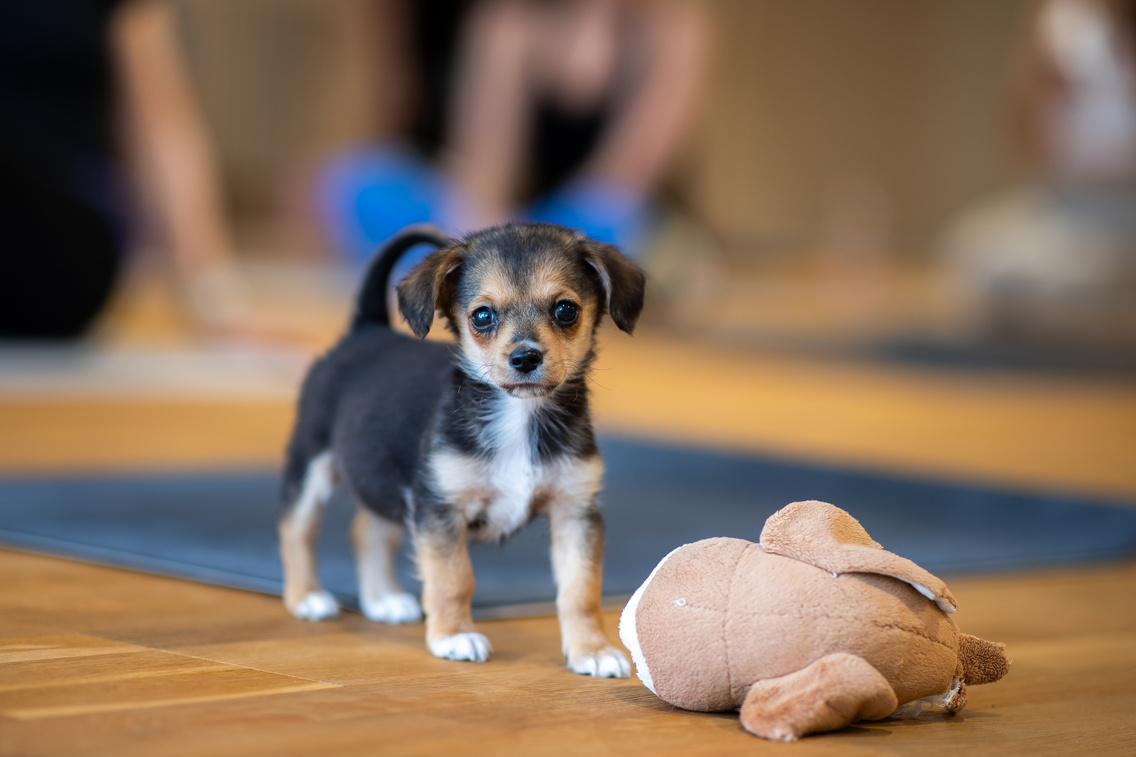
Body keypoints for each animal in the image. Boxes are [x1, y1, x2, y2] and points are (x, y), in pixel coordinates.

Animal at [278, 221, 645, 672]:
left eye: (565, 310)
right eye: (482, 316)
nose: (525, 358)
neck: (518, 417)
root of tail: (366, 331)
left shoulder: (575, 511)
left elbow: (581, 589)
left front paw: (591, 649)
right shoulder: (440, 508)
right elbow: (453, 578)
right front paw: (453, 636)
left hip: (387, 477)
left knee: (366, 530)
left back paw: (382, 599)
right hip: (312, 465)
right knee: (297, 529)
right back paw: (307, 597)